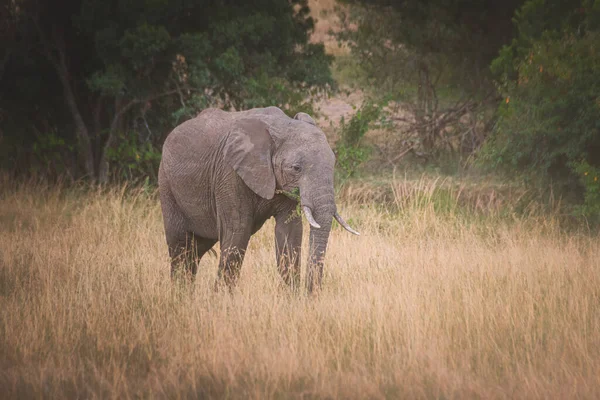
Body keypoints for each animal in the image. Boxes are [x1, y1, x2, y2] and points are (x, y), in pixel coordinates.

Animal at [157, 106, 358, 294]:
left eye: (333, 163)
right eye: (296, 168)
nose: (310, 296)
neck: (281, 126)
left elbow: (290, 232)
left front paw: (291, 299)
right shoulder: (229, 173)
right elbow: (237, 231)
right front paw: (221, 300)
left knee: (196, 250)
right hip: (166, 184)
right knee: (180, 247)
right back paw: (179, 296)